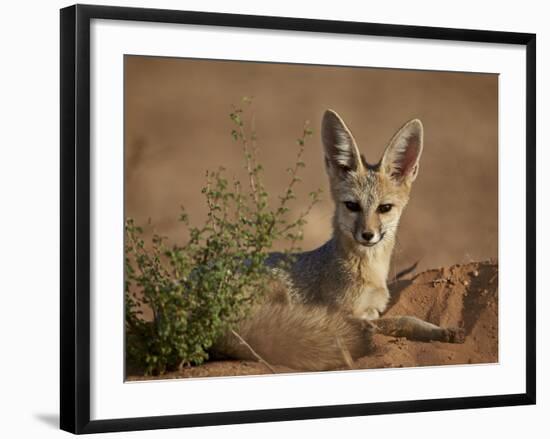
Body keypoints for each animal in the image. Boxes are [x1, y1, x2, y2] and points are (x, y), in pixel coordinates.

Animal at [213, 109, 464, 372]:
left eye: (384, 208)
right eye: (352, 205)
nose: (367, 235)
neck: (370, 271)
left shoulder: (373, 308)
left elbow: (404, 318)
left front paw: (441, 331)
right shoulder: (346, 312)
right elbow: (398, 320)